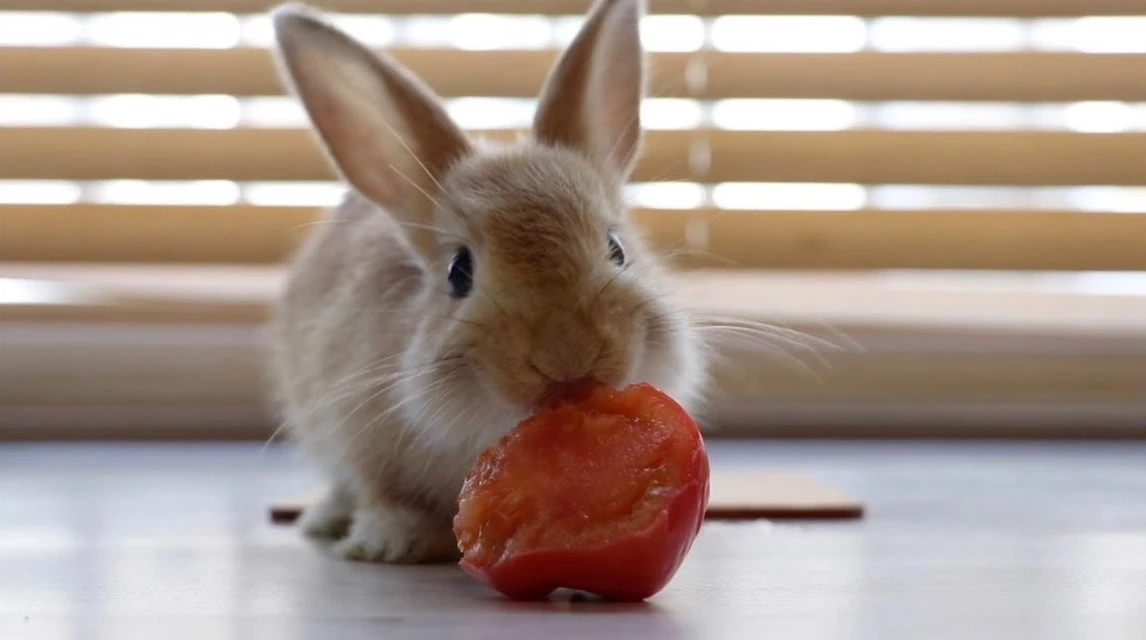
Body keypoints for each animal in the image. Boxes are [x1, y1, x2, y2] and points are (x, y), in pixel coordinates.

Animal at [265, 0, 705, 564]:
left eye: (617, 249)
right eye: (459, 271)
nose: (568, 356)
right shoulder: (356, 430)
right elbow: (382, 492)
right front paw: (389, 540)